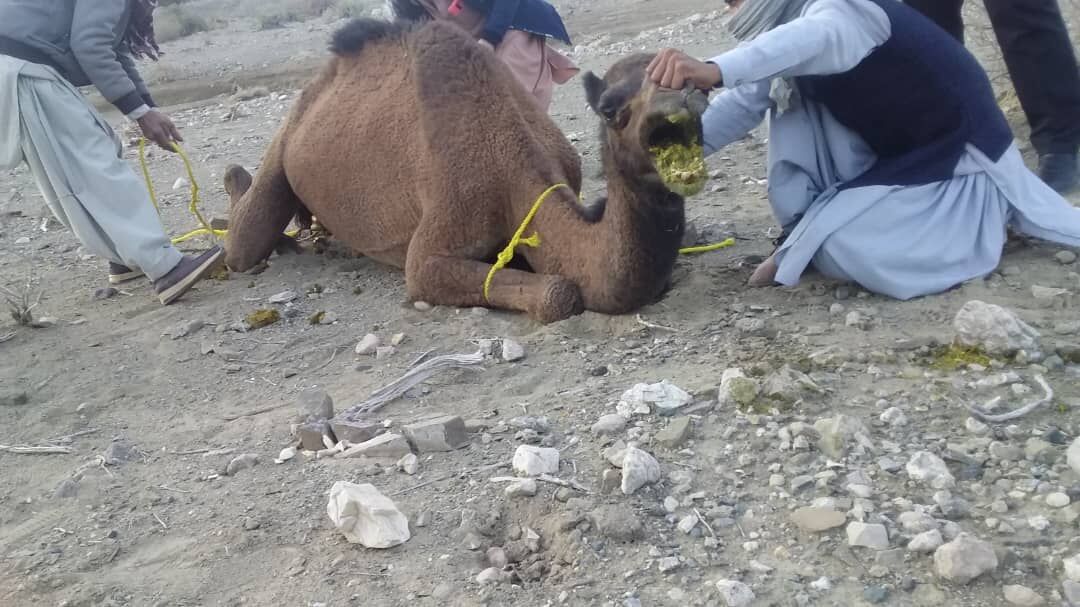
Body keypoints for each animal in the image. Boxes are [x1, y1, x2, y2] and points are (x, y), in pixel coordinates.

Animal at [221, 11, 708, 321]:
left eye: (694, 81)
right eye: (609, 108)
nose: (677, 106)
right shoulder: (436, 241)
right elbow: (560, 291)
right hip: (285, 139)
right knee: (243, 241)